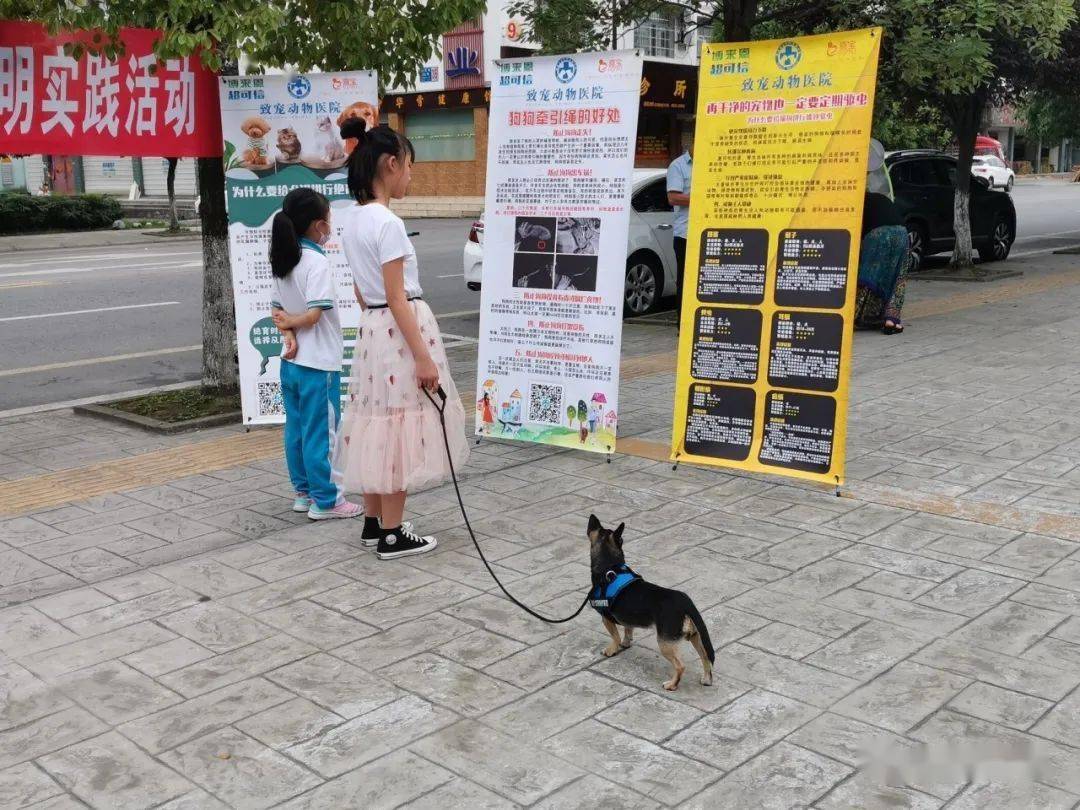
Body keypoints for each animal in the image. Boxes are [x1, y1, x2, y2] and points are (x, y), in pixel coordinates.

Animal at [587, 514, 712, 691]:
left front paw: (611, 650)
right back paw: (706, 679)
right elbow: (628, 630)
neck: (611, 566)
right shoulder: (628, 618)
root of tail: (686, 604)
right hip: (696, 637)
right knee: (705, 657)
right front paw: (626, 643)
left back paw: (671, 685)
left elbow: (615, 636)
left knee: (680, 666)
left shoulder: (606, 619)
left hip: (665, 643)